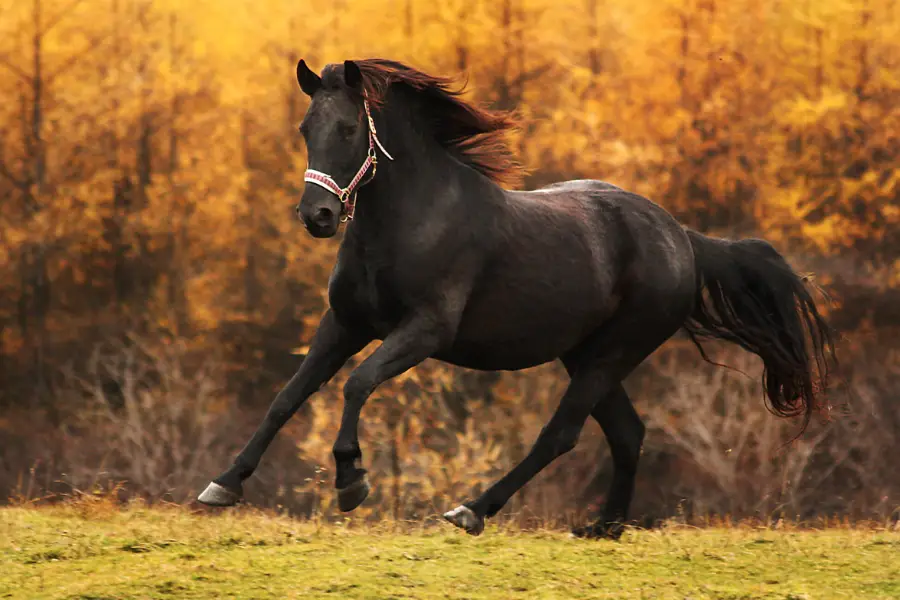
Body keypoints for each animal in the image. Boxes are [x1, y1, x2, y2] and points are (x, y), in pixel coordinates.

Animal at [199, 58, 836, 540]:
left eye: (350, 129)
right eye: (306, 128)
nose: (318, 216)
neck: (411, 220)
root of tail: (683, 238)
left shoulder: (424, 331)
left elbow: (356, 384)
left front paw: (352, 481)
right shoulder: (345, 324)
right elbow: (288, 397)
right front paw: (223, 484)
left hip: (611, 354)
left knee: (562, 435)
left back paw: (472, 510)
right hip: (585, 355)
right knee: (627, 433)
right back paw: (602, 527)